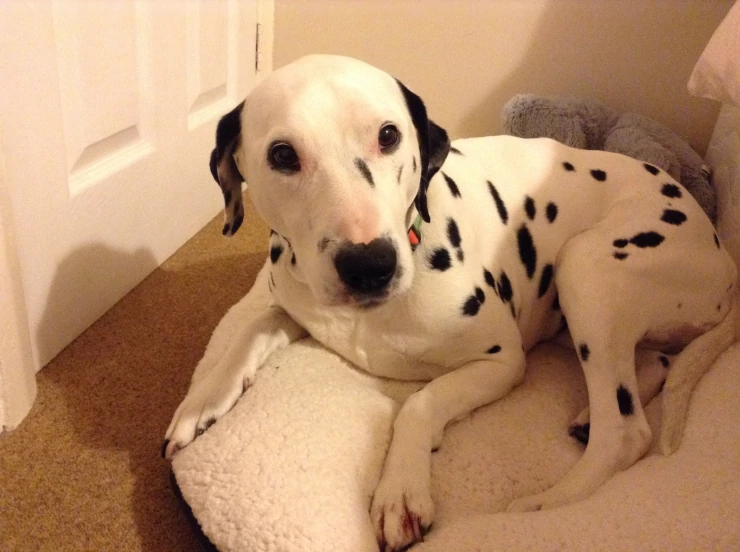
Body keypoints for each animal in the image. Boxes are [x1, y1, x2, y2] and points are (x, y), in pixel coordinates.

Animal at [164, 55, 738, 551]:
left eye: (388, 135)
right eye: (283, 154)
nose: (369, 264)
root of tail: (724, 258)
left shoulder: (502, 361)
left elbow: (420, 402)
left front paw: (399, 491)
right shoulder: (293, 302)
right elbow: (253, 326)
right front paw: (201, 402)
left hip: (587, 266)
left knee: (625, 431)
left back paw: (545, 503)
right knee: (653, 364)